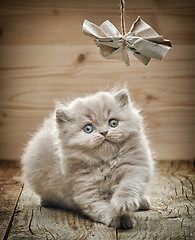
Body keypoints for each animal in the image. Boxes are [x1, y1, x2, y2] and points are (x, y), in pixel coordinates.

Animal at [22, 88, 154, 229]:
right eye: (88, 129)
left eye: (113, 123)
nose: (104, 132)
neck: (106, 163)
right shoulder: (89, 194)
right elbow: (106, 208)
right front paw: (120, 217)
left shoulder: (135, 168)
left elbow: (128, 186)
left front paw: (124, 203)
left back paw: (142, 202)